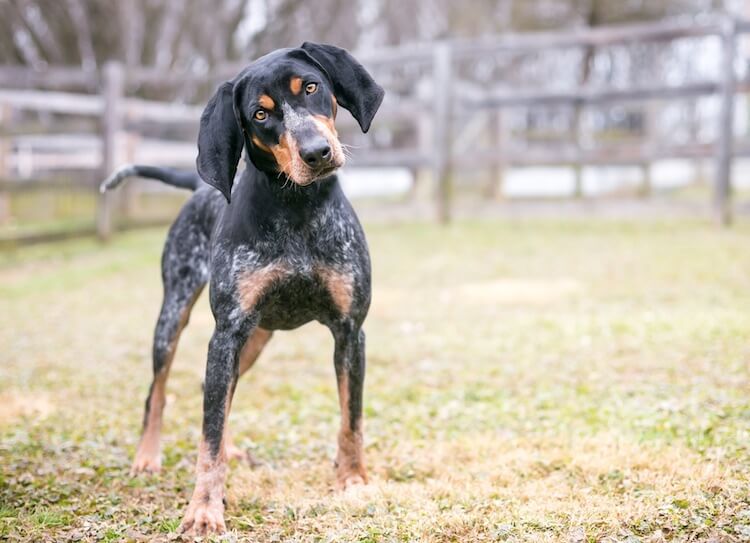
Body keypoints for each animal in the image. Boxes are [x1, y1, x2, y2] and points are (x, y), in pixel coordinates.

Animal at [103, 42, 384, 536]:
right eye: (260, 114)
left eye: (311, 88)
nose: (317, 152)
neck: (298, 208)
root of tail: (198, 186)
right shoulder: (226, 333)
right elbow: (208, 439)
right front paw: (204, 508)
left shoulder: (351, 332)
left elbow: (351, 419)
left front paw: (352, 480)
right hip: (175, 317)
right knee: (160, 391)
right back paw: (147, 456)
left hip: (256, 338)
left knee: (210, 391)